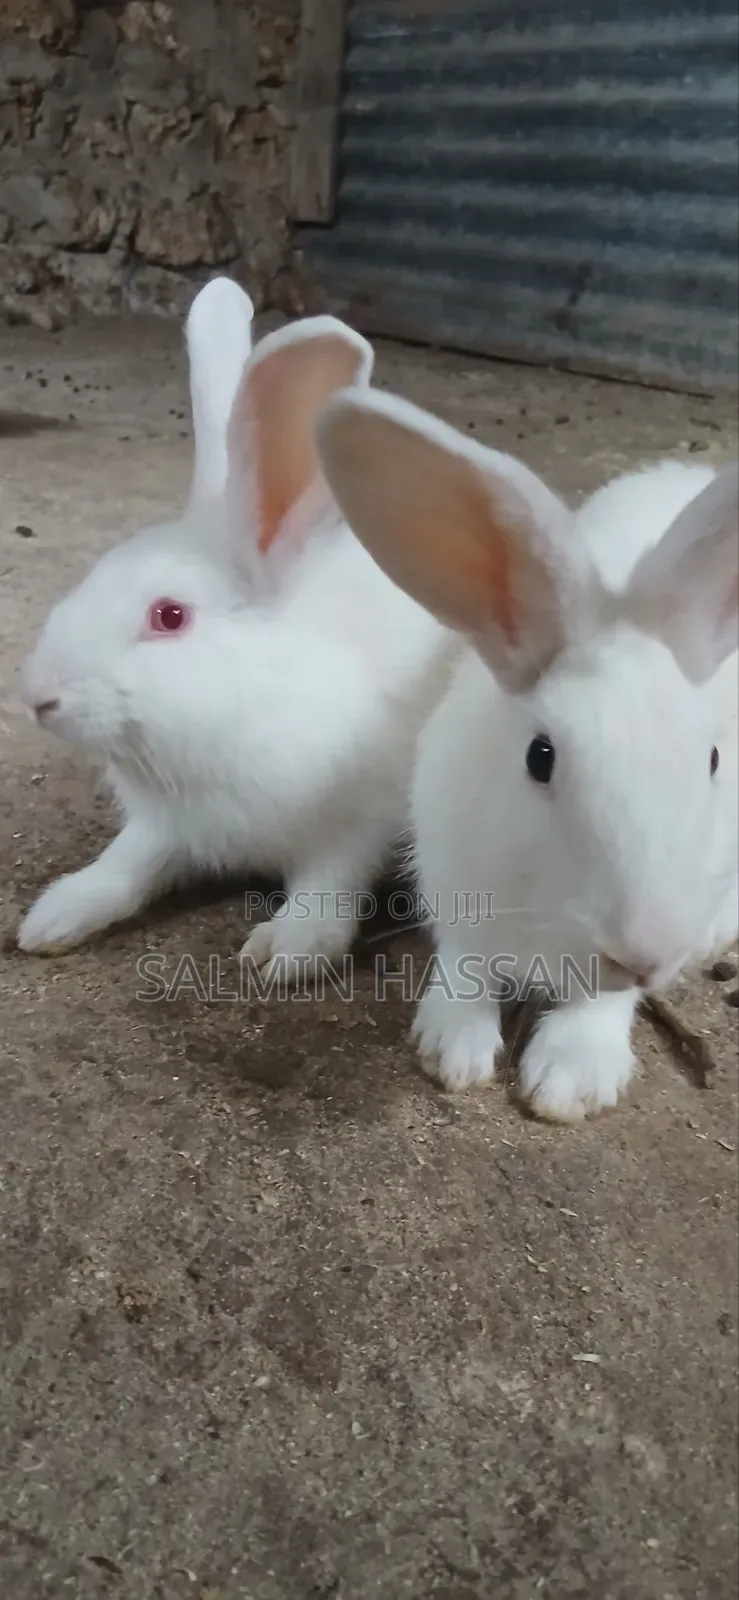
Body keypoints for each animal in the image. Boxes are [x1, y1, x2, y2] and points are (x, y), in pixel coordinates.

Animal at [17, 278, 456, 974]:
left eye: (169, 616)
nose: (37, 695)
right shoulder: (162, 825)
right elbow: (126, 865)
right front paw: (55, 918)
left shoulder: (357, 820)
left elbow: (331, 879)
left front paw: (288, 950)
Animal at [316, 385, 738, 1122]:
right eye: (540, 757)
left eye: (713, 759)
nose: (644, 947)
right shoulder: (453, 887)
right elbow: (463, 965)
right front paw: (450, 1048)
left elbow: (601, 1002)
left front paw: (569, 1081)